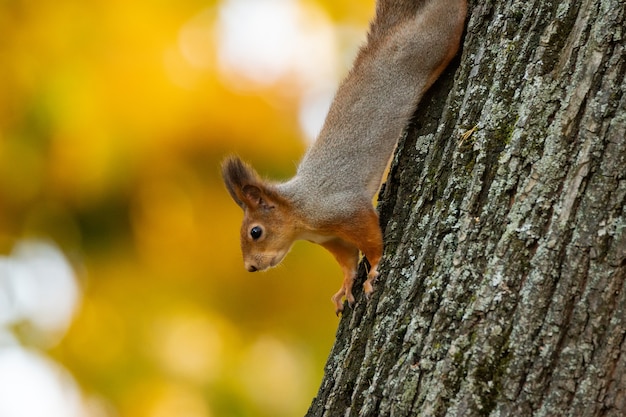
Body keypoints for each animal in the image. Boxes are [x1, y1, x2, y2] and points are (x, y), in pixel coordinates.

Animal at [222, 0, 466, 312]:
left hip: (431, 43)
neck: (300, 211)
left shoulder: (345, 209)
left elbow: (371, 240)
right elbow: (348, 259)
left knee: (449, 17)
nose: (251, 267)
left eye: (255, 232)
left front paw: (373, 270)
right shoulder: (332, 238)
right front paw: (347, 284)